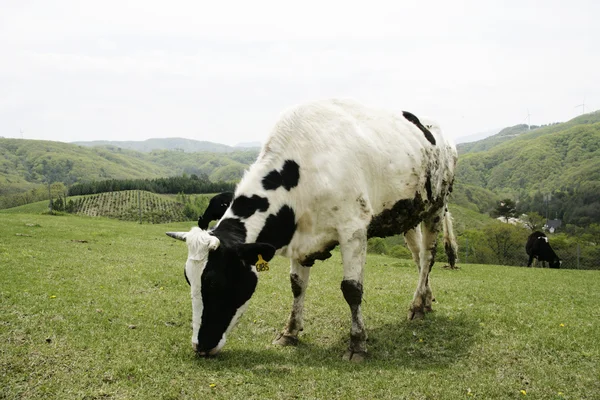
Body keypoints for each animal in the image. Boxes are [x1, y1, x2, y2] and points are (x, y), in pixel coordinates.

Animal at [166, 98, 458, 360]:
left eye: (215, 282)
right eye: (188, 279)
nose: (200, 346)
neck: (306, 169)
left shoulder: (353, 229)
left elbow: (352, 289)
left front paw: (357, 344)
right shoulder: (300, 237)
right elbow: (296, 285)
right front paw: (290, 333)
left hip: (436, 206)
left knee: (428, 257)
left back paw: (417, 306)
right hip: (409, 215)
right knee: (418, 258)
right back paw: (426, 301)